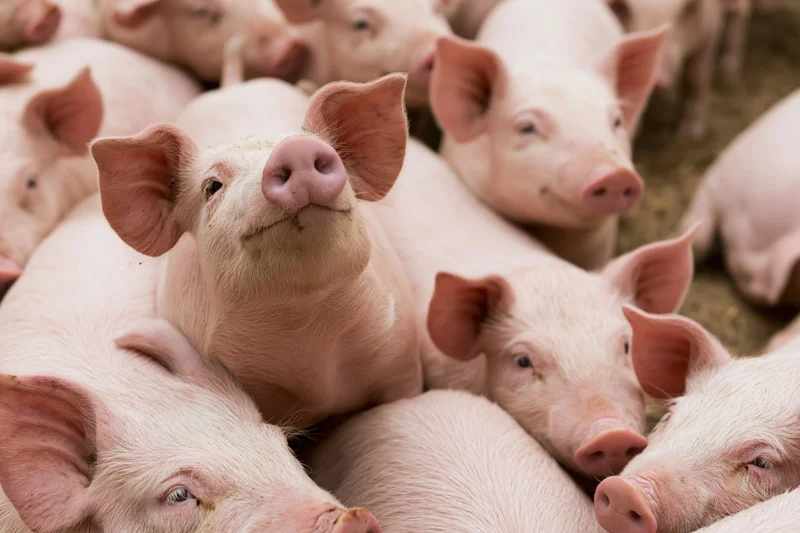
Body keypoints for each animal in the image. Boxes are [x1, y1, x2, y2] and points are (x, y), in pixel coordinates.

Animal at [604, 0, 724, 139]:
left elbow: (695, 81)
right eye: (623, 7)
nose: (658, 76)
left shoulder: (709, 35)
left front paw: (692, 133)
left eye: (689, 8)